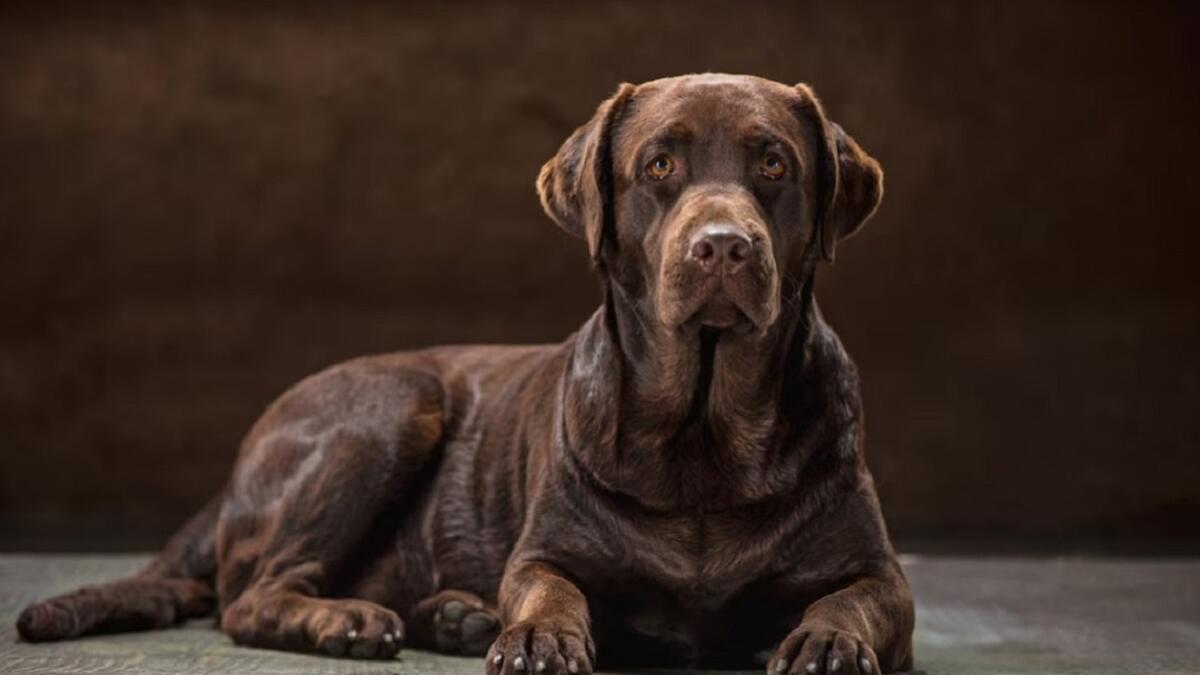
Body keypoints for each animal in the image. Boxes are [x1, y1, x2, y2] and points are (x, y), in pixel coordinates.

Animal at [18, 73, 912, 672]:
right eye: (659, 167)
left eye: (774, 164)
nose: (723, 244)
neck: (703, 431)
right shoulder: (544, 552)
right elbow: (547, 588)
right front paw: (538, 635)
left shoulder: (882, 576)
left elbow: (856, 598)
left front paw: (825, 638)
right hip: (391, 408)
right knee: (252, 595)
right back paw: (352, 621)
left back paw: (454, 615)